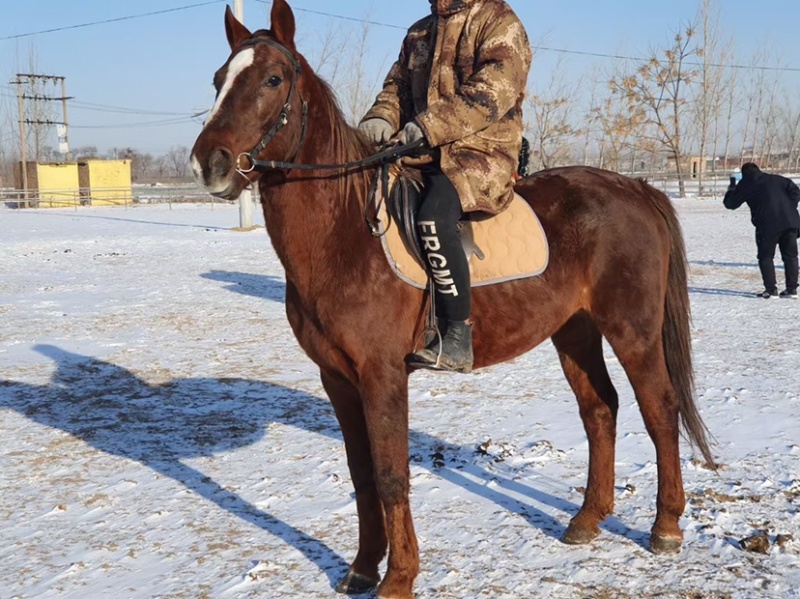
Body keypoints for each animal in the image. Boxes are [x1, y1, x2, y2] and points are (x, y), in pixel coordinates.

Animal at [190, 2, 714, 597]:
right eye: (218, 80)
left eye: (273, 79)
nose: (210, 163)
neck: (345, 234)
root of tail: (638, 189)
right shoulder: (338, 379)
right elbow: (361, 474)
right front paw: (362, 568)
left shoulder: (381, 375)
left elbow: (391, 476)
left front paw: (398, 578)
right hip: (574, 331)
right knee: (600, 410)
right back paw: (587, 520)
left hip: (633, 331)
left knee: (660, 410)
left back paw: (666, 526)